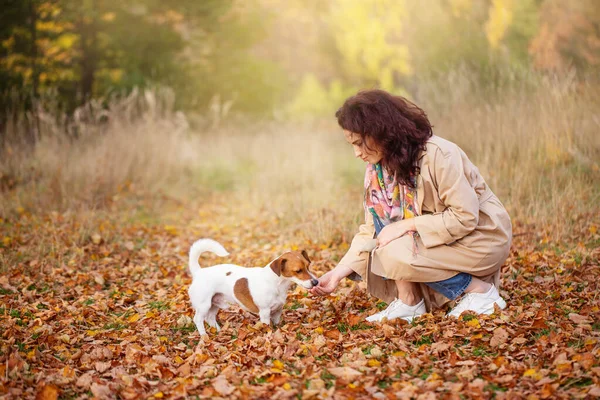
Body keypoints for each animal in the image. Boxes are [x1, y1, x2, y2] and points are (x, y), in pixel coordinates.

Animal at [188, 238, 318, 334]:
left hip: (214, 303)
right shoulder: (265, 312)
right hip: (204, 305)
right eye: (298, 271)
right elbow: (267, 327)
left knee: (209, 318)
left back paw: (218, 332)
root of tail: (199, 272)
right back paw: (204, 336)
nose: (316, 282)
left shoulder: (277, 311)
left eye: (308, 266)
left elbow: (277, 324)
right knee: (198, 319)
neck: (275, 283)